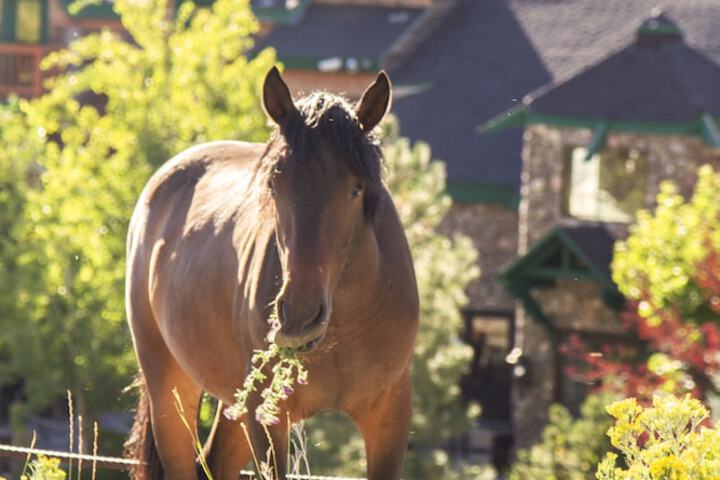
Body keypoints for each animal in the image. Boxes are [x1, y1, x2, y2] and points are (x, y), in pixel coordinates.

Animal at [126, 68, 420, 480]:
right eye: (274, 184)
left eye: (356, 188)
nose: (299, 318)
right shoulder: (267, 419)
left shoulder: (390, 416)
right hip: (170, 386)